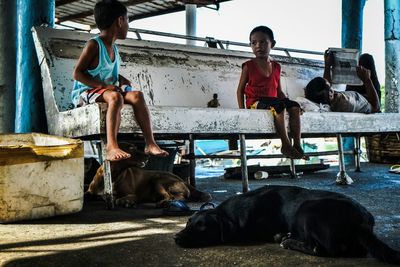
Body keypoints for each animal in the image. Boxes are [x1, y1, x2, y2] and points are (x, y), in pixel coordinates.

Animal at [175, 186, 400, 266]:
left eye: (202, 227)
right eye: (188, 222)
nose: (176, 238)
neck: (230, 214)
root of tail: (362, 223)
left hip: (306, 210)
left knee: (320, 249)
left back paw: (288, 241)